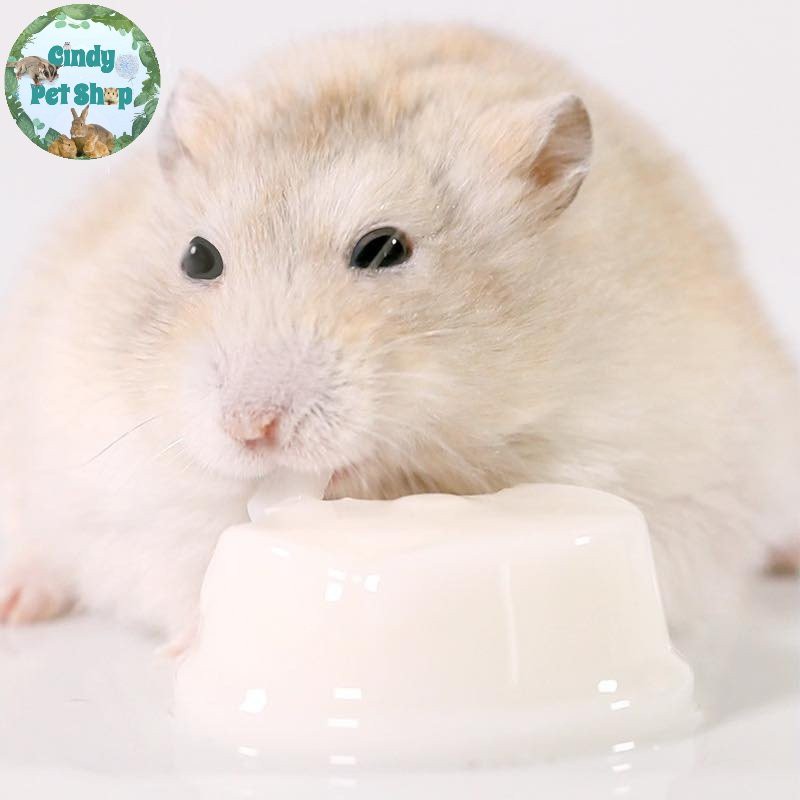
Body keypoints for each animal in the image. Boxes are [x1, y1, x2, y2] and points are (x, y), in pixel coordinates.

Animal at [1, 25, 798, 643]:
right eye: (197, 257)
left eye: (384, 249)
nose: (250, 431)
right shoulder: (126, 486)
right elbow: (183, 562)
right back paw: (20, 601)